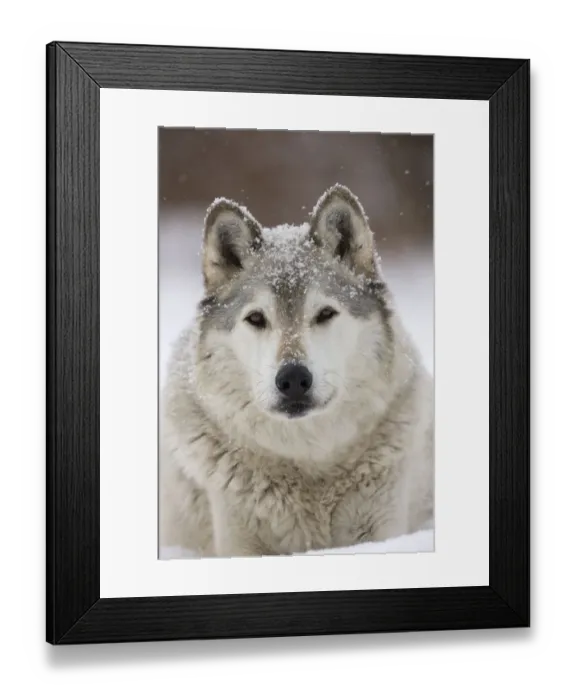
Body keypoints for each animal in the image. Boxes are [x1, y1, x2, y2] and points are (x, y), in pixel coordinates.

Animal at [159, 184, 434, 558]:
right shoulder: (238, 538)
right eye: (256, 318)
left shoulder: (383, 527)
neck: (307, 465)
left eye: (325, 313)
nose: (292, 379)